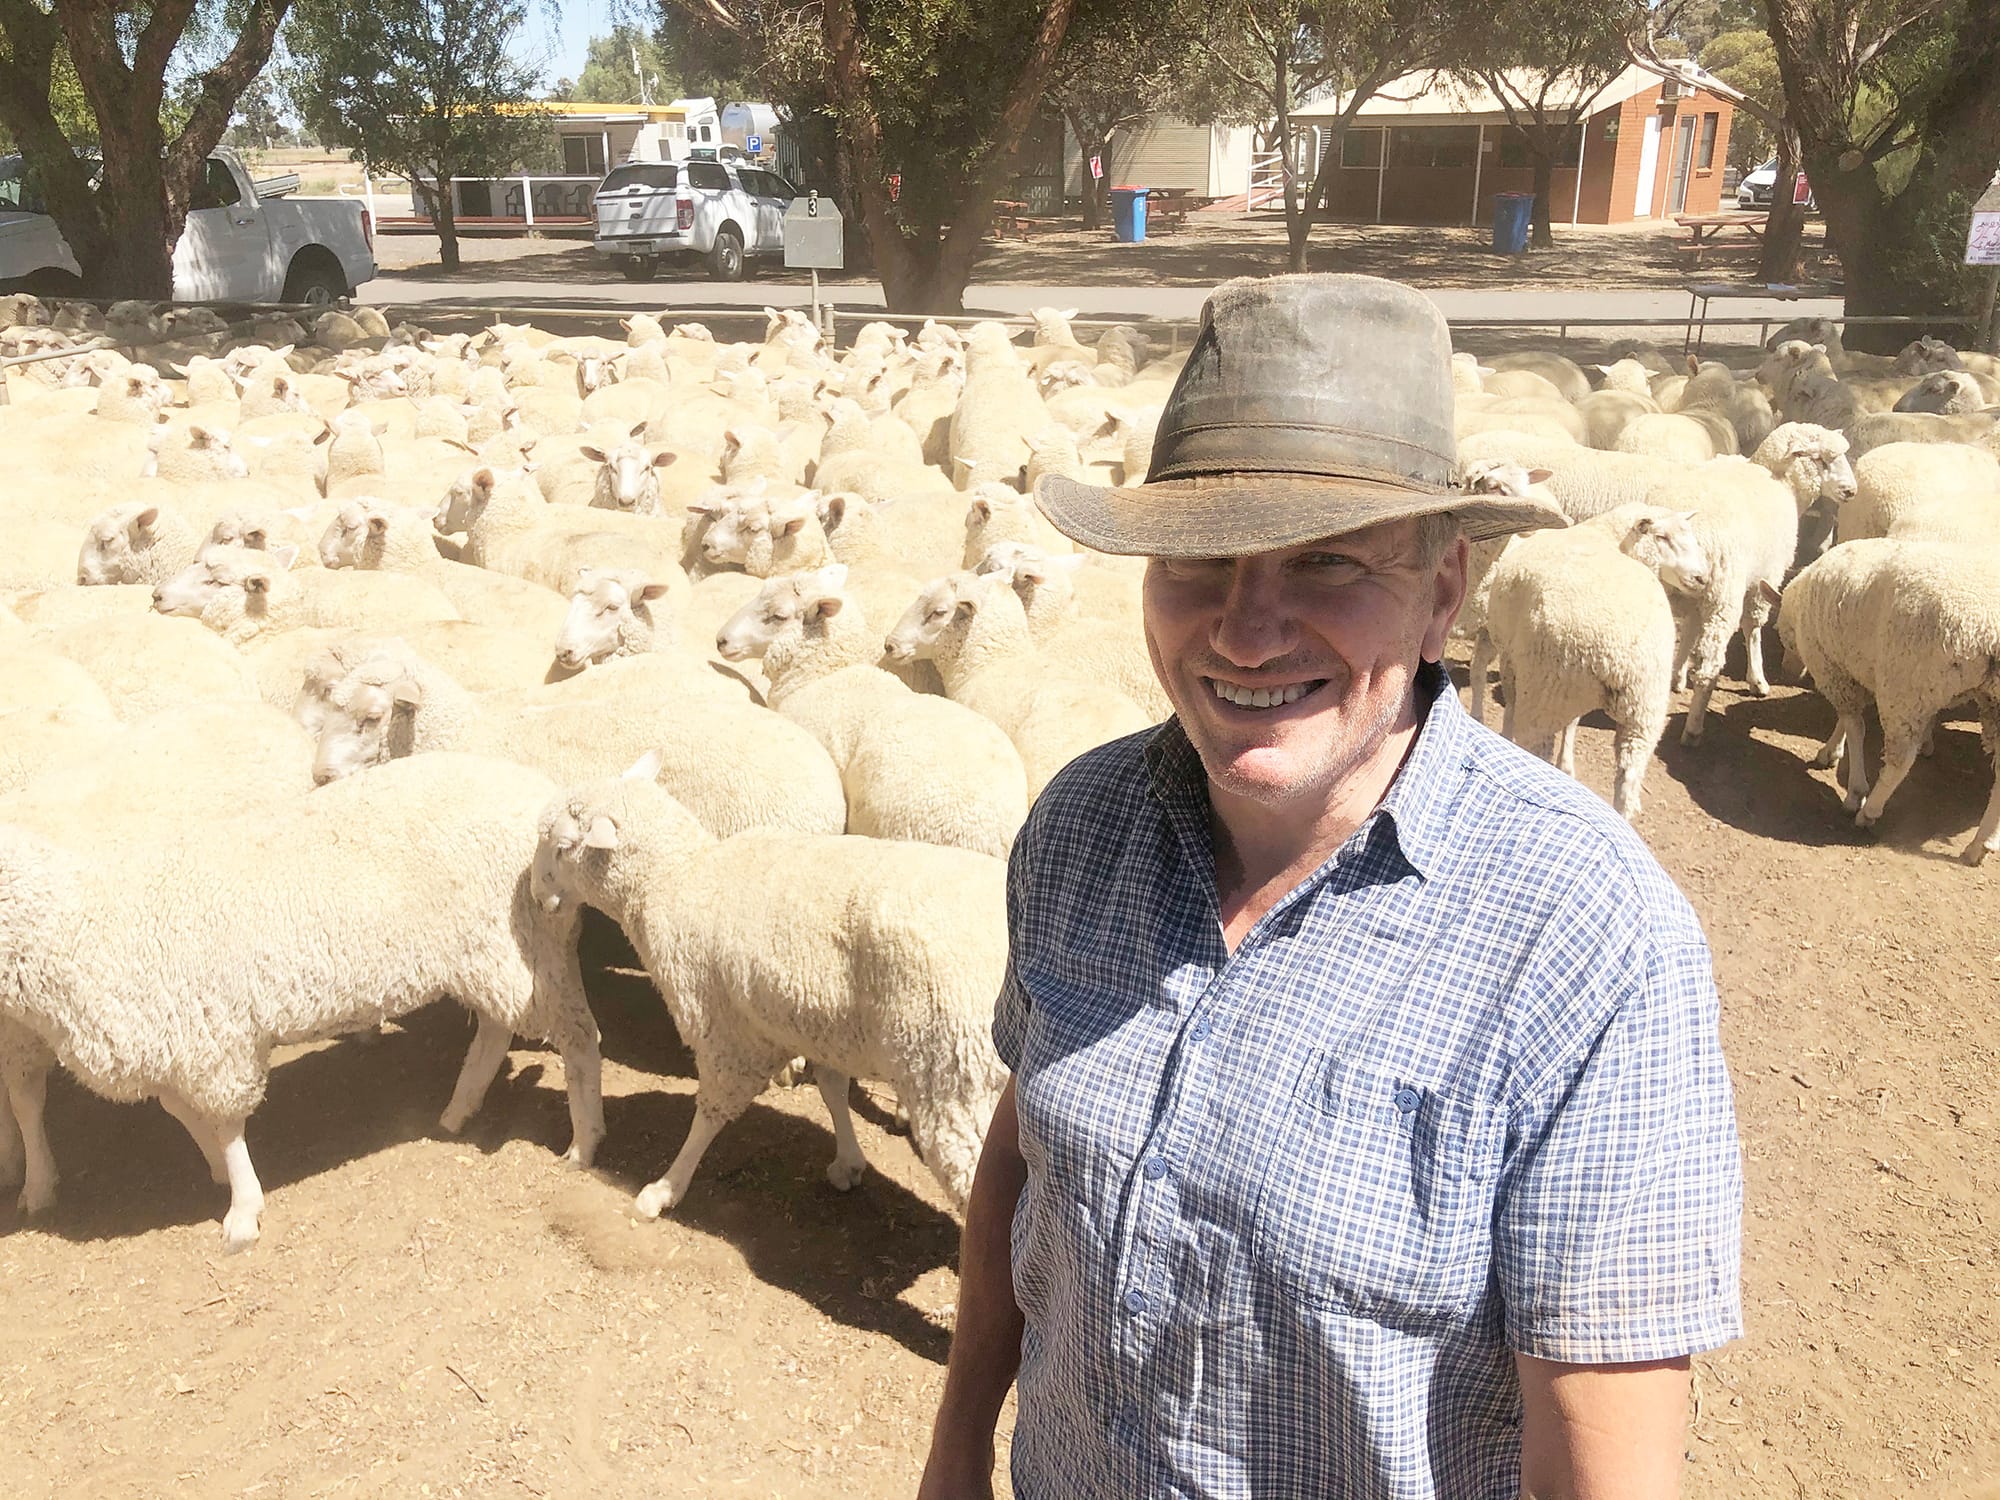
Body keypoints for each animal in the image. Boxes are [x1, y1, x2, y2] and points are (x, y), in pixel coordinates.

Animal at [0, 752, 604, 1247]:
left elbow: (225, 1125)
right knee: (497, 1029)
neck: (81, 924)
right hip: (490, 957)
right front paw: (215, 1171)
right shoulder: (174, 1042)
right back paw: (459, 1110)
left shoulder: (216, 1040)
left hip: (527, 942)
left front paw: (242, 1210)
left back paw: (584, 1143)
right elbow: (183, 1112)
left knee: (578, 1037)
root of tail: (537, 792)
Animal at [530, 755, 1008, 1214]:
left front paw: (664, 1189)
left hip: (956, 1079)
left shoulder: (726, 1033)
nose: (535, 896)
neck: (676, 879)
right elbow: (833, 1089)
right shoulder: (820, 1022)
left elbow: (709, 1115)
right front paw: (848, 1162)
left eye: (562, 848)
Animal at [1477, 505, 1714, 818]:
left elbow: (1519, 707)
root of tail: (1618, 655)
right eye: (1661, 536)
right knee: (1628, 778)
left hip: (1547, 692)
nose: (1702, 578)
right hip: (1643, 711)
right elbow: (1569, 721)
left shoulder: (1514, 660)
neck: (1603, 534)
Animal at [1777, 538, 2000, 863]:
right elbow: (1846, 721)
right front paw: (1831, 750)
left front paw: (1855, 791)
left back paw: (1870, 810)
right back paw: (1980, 845)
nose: (1788, 670)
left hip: (1905, 688)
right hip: (1992, 701)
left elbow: (1855, 727)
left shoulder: (1832, 668)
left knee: (1900, 761)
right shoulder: (1852, 670)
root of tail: (1991, 633)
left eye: (1782, 637)